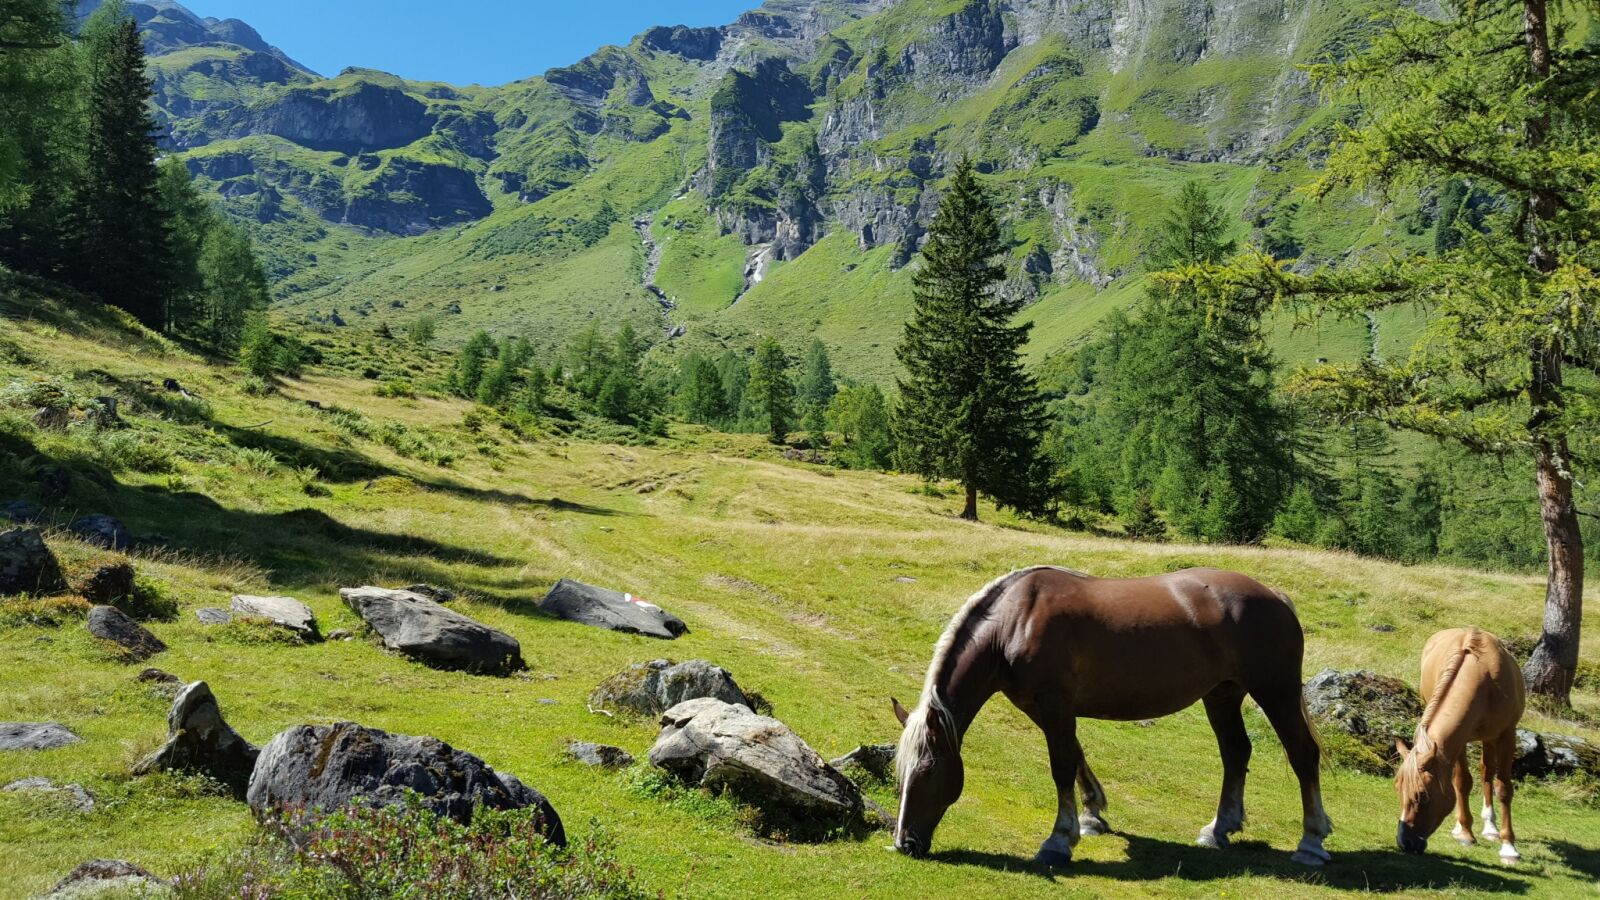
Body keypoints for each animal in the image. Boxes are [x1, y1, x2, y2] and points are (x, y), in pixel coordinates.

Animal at [891, 565, 1332, 868]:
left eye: (929, 770)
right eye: (901, 773)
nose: (904, 843)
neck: (1016, 621)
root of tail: (1274, 596)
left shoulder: (1054, 706)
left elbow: (1061, 767)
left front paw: (1058, 840)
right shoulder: (1047, 709)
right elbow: (1076, 757)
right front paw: (1091, 815)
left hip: (1275, 692)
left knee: (1302, 754)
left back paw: (1311, 841)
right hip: (1222, 696)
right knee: (1236, 753)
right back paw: (1218, 829)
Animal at [1394, 627, 1526, 862]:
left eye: (1422, 796)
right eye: (1398, 790)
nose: (1404, 842)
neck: (1482, 677)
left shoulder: (1506, 735)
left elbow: (1503, 787)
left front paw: (1509, 847)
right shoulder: (1459, 739)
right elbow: (1461, 782)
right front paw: (1465, 833)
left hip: (1490, 738)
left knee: (1487, 772)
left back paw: (1491, 828)